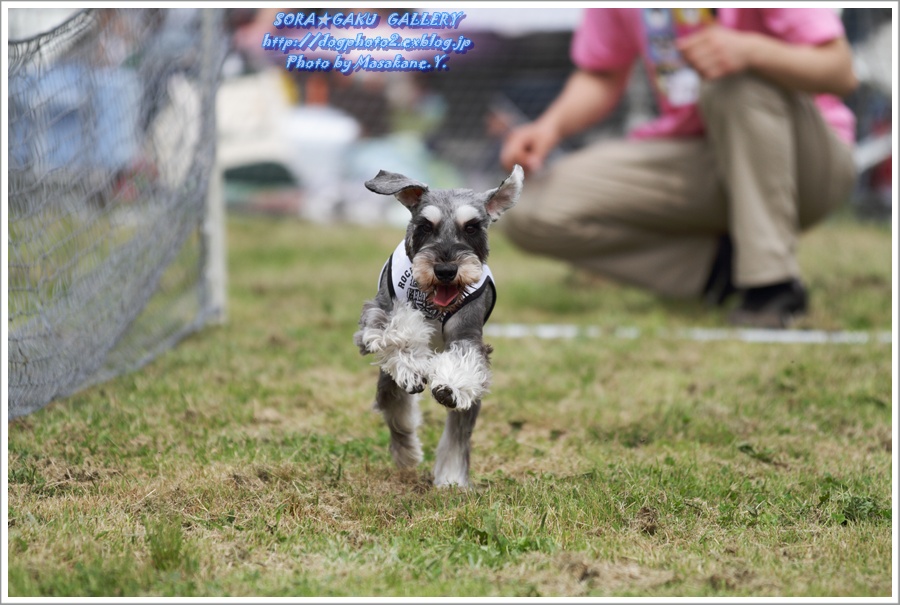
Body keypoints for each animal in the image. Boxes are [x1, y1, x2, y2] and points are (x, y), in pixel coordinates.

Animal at [352, 164, 520, 486]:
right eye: (425, 226)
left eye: (472, 228)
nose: (445, 270)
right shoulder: (376, 318)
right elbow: (396, 333)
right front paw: (412, 365)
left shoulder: (468, 336)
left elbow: (464, 362)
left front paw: (450, 384)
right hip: (387, 382)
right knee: (396, 409)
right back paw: (406, 454)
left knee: (460, 427)